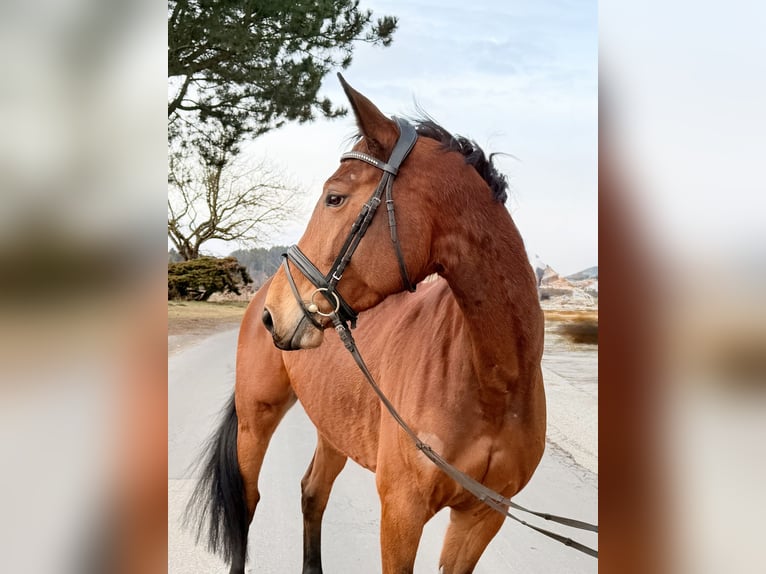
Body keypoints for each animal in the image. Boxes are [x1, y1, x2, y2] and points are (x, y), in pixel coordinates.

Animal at [188, 76, 546, 574]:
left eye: (335, 197)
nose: (274, 313)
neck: (495, 381)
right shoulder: (401, 513)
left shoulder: (482, 518)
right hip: (255, 420)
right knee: (247, 501)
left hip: (332, 427)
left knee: (313, 493)